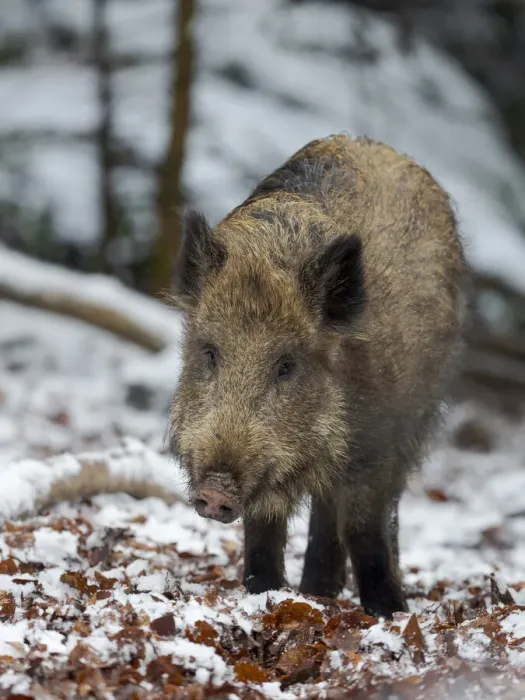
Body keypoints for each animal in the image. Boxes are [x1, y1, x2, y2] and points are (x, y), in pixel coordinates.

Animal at [169, 134, 468, 618]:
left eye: (287, 364)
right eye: (210, 352)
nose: (215, 492)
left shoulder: (378, 446)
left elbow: (365, 527)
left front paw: (388, 612)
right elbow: (263, 529)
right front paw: (266, 594)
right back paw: (317, 591)